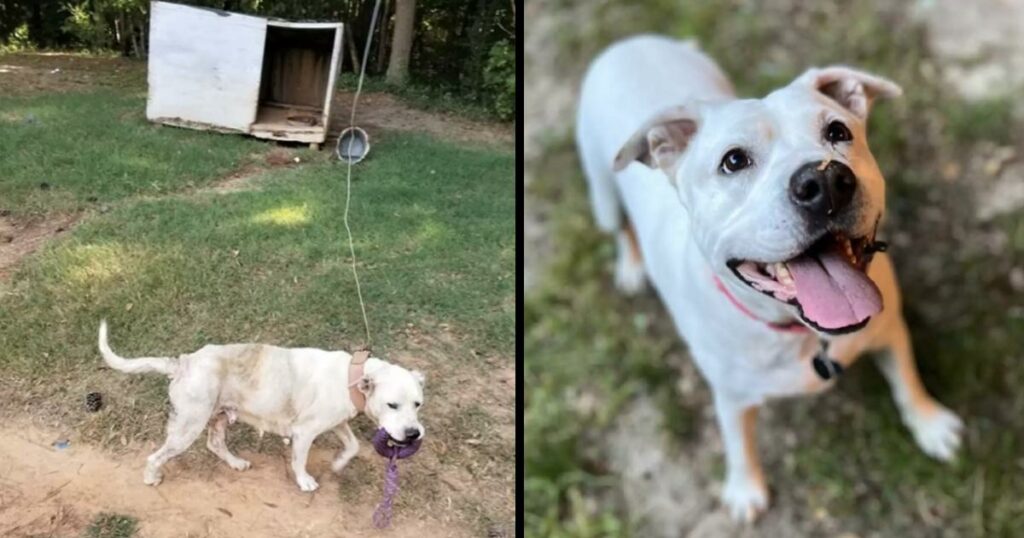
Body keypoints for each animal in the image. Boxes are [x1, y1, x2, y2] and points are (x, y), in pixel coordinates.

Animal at [97, 319, 425, 489]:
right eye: (392, 405)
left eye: (418, 404)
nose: (413, 434)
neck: (352, 377)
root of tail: (184, 362)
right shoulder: (305, 432)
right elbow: (299, 460)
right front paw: (305, 481)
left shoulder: (338, 422)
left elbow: (353, 446)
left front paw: (339, 463)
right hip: (188, 426)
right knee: (156, 456)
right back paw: (151, 478)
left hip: (218, 417)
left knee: (215, 444)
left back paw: (236, 463)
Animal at [581, 35, 962, 522]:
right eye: (733, 161)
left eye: (838, 131)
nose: (825, 181)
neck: (800, 333)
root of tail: (632, 41)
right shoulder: (731, 397)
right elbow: (739, 443)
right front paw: (745, 490)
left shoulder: (890, 328)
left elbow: (906, 379)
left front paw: (929, 423)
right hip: (603, 194)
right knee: (620, 227)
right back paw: (631, 266)